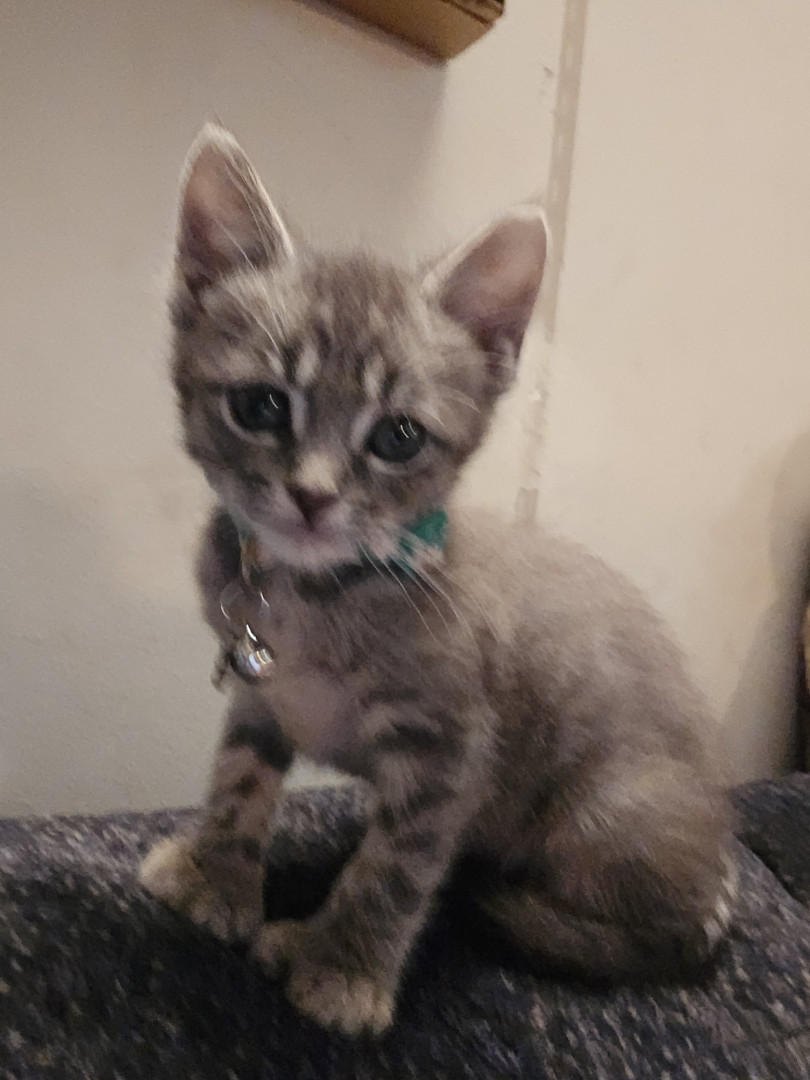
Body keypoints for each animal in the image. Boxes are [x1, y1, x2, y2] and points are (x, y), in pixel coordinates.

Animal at [140, 124, 735, 1037]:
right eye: (262, 406)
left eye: (397, 437)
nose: (312, 496)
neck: (318, 594)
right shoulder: (257, 688)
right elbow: (239, 779)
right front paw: (218, 874)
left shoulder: (451, 748)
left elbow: (394, 869)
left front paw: (340, 969)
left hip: (610, 812)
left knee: (663, 932)